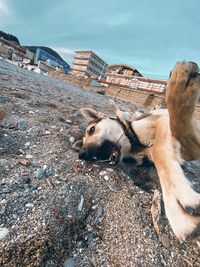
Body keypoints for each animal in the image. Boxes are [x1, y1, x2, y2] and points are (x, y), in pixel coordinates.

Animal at [72, 61, 200, 242]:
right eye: (82, 143)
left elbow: (163, 145)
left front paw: (177, 201)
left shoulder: (162, 124)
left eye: (91, 130)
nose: (82, 154)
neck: (133, 144)